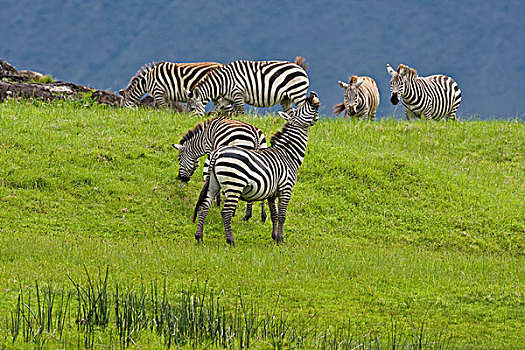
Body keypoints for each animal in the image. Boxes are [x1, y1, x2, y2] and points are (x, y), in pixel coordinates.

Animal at [192, 92, 320, 246]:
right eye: (300, 110)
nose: (312, 94)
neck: (289, 154)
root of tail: (217, 153)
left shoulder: (272, 193)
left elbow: (274, 215)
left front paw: (274, 237)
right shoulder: (286, 188)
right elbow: (282, 215)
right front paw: (281, 240)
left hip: (213, 183)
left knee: (204, 207)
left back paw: (199, 238)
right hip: (234, 185)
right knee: (226, 212)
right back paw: (231, 241)